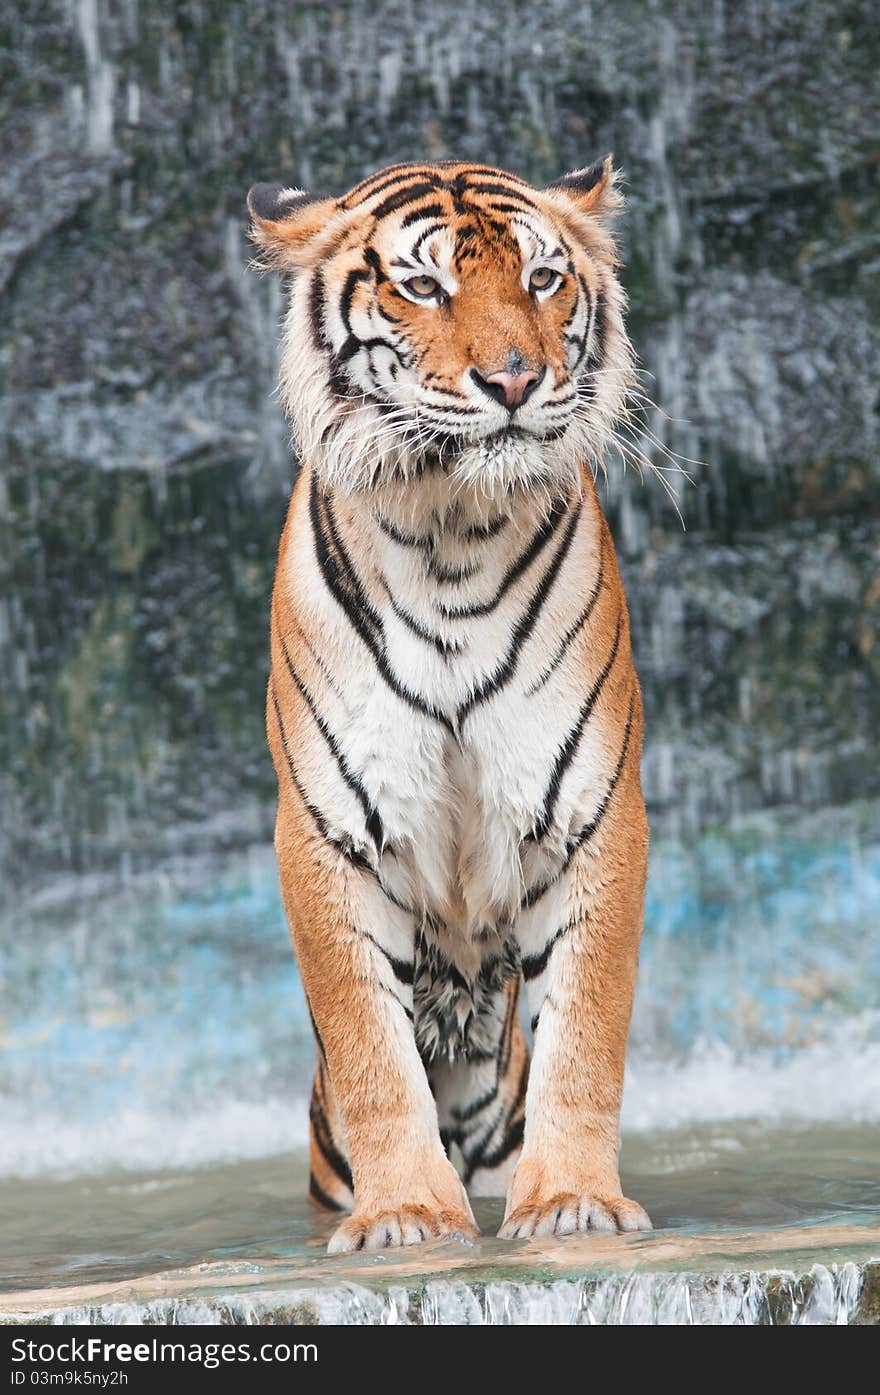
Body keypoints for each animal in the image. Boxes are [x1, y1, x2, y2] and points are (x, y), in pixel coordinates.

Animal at [248, 155, 655, 1255]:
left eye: (543, 279)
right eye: (424, 287)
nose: (514, 381)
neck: (451, 534)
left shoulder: (592, 809)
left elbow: (586, 1029)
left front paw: (570, 1202)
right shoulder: (329, 827)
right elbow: (367, 1043)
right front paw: (406, 1215)